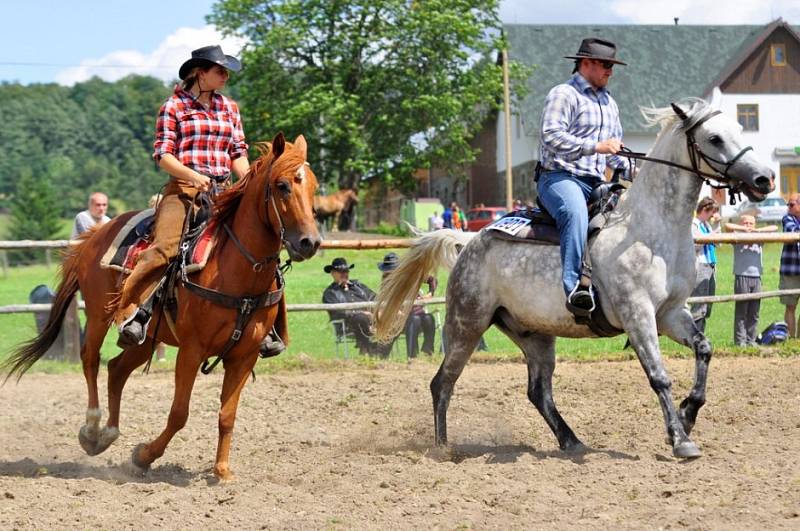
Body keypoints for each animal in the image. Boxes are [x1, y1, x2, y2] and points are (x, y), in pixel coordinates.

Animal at [3, 133, 322, 482]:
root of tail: (97, 233)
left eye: (314, 186)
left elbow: (227, 414)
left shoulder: (244, 356)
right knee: (90, 359)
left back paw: (107, 434)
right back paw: (91, 430)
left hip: (146, 337)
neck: (236, 271)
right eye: (282, 185)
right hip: (100, 313)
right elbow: (179, 413)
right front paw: (143, 456)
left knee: (117, 368)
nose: (310, 242)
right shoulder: (192, 349)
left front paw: (222, 471)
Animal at [376, 102, 776, 460]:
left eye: (739, 129)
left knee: (538, 392)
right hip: (466, 325)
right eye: (713, 138)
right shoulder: (638, 314)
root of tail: (468, 242)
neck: (649, 229)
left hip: (534, 335)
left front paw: (688, 413)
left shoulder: (671, 313)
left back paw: (571, 441)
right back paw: (443, 449)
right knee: (443, 382)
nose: (764, 179)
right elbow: (659, 376)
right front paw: (680, 440)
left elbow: (704, 349)